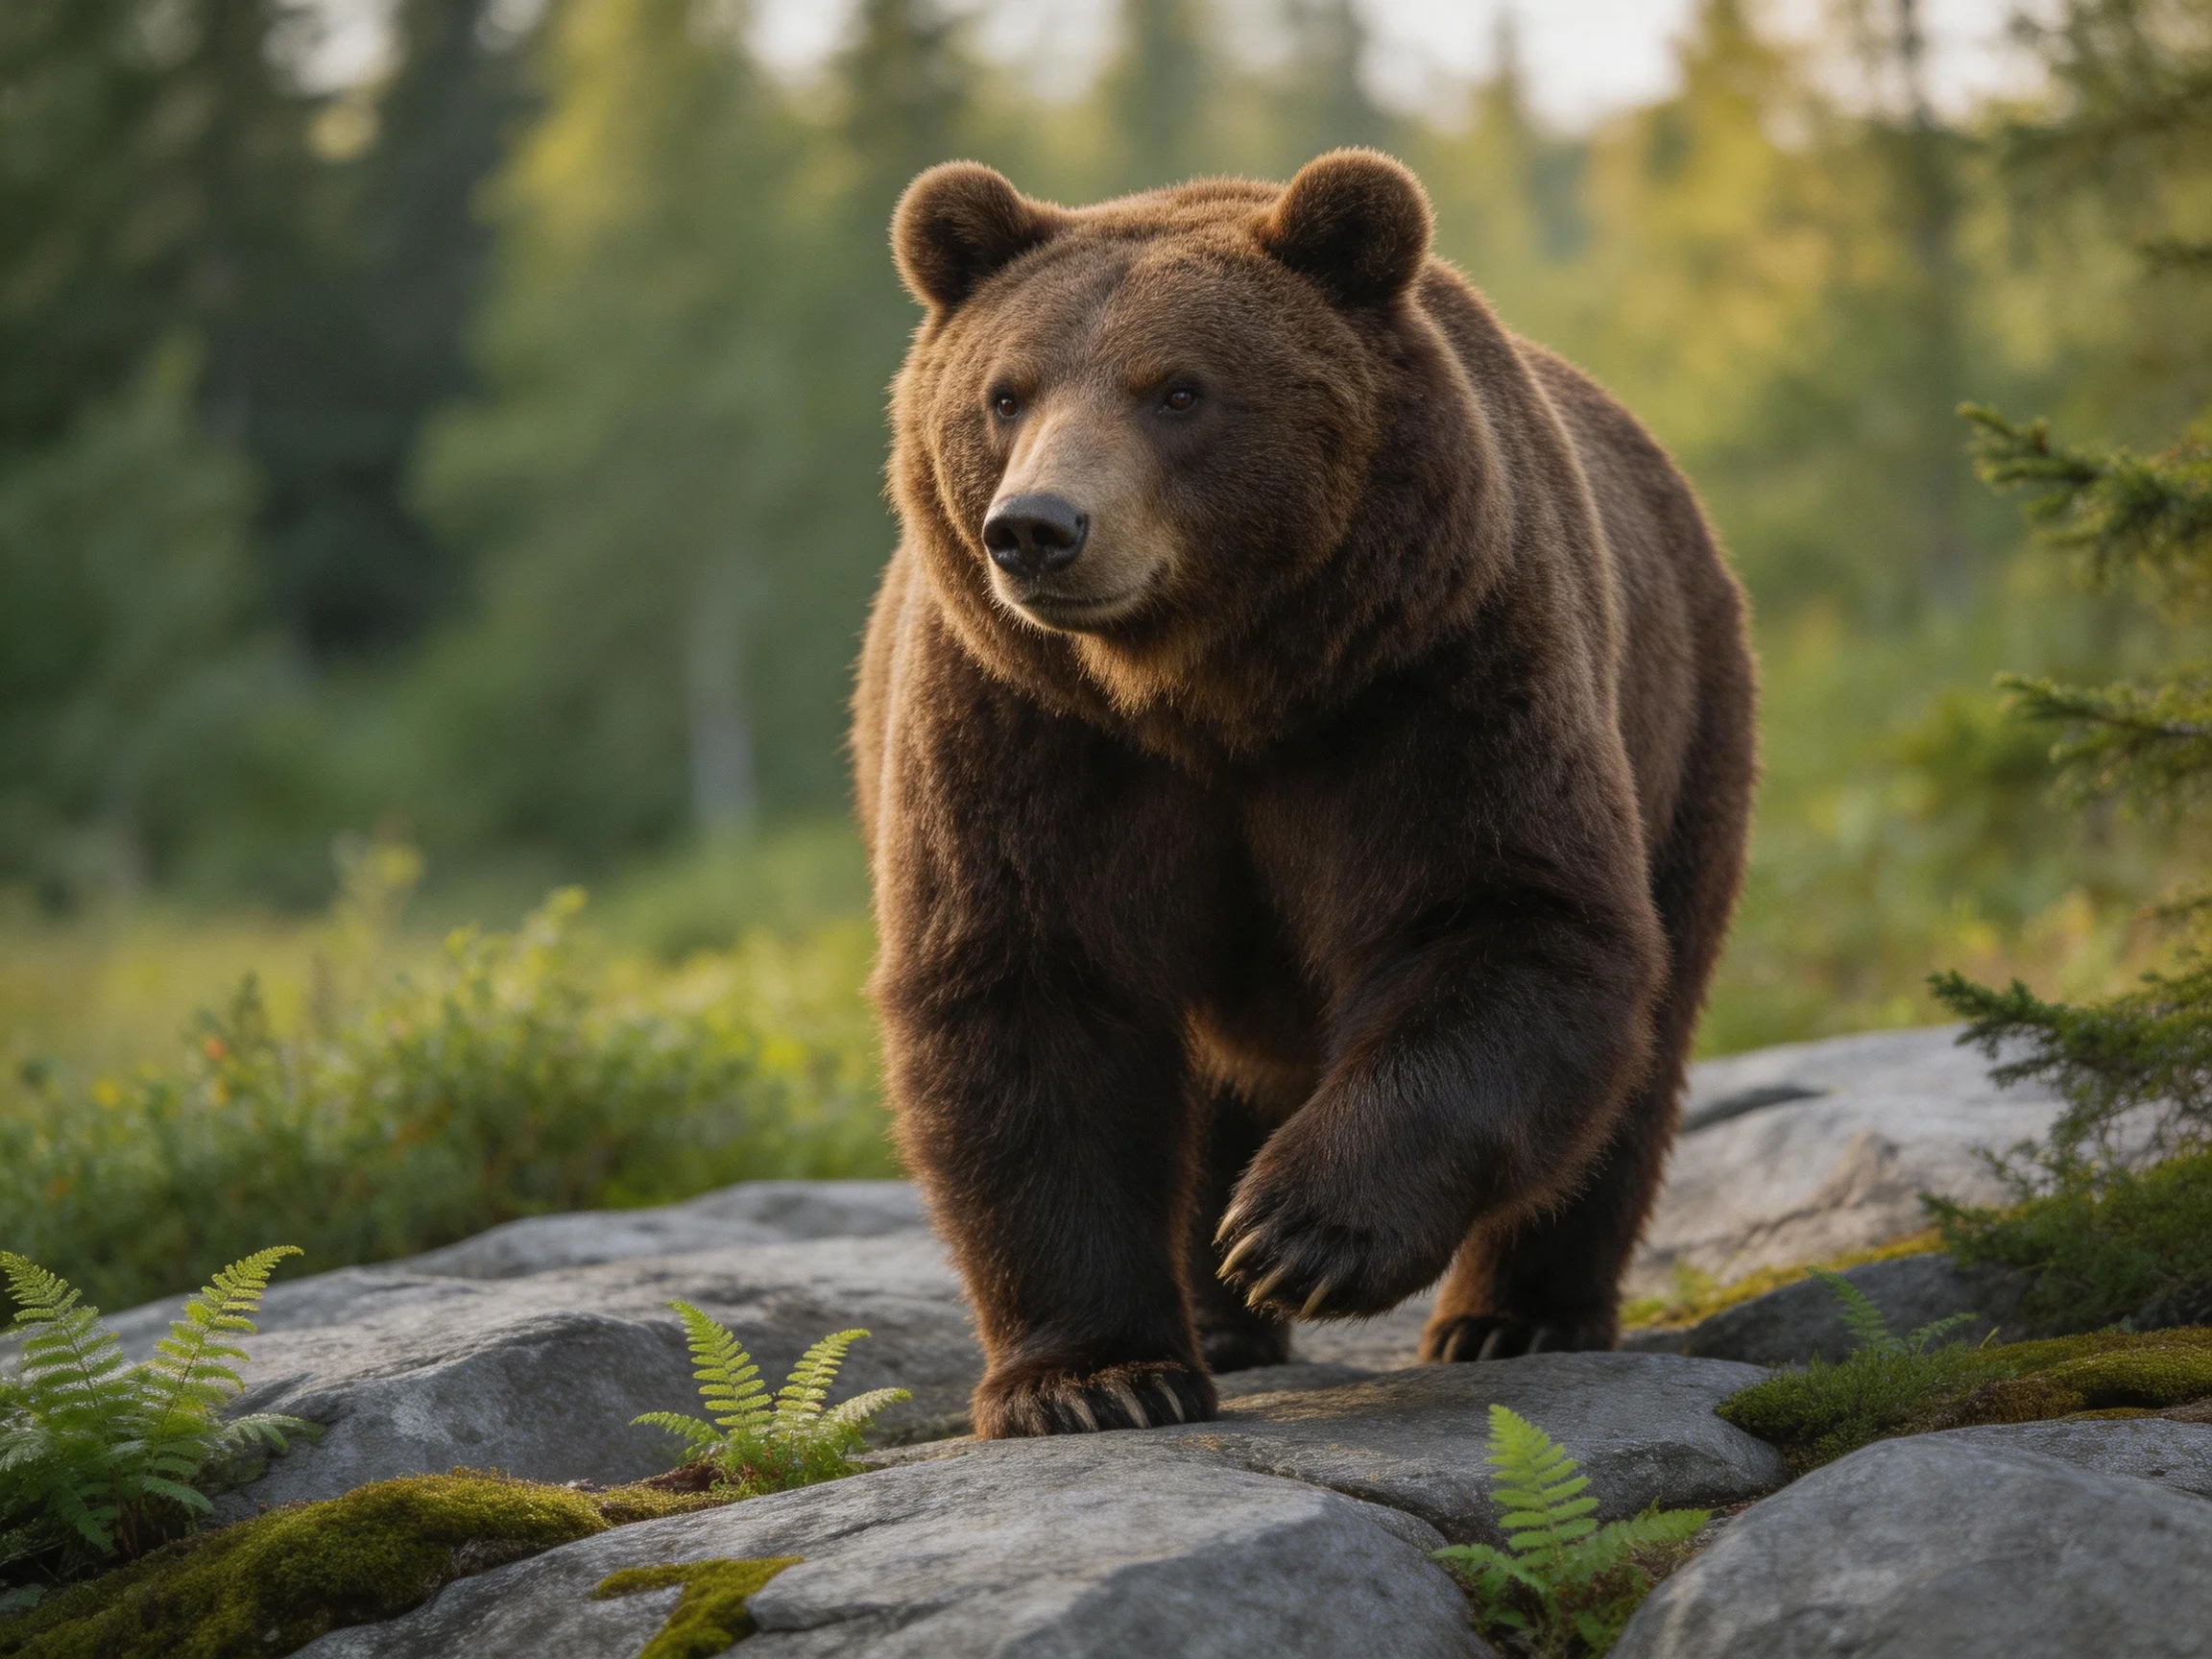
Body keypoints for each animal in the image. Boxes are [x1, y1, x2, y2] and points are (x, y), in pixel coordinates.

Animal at [853, 149, 1757, 1439]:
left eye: (1178, 391)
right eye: (1006, 394)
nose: (1036, 529)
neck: (1205, 688)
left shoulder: (1434, 670)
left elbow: (1503, 915)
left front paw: (1298, 1232)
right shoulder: (1025, 725)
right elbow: (1030, 989)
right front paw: (1095, 1381)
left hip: (1683, 719)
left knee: (1646, 1030)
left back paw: (1512, 1315)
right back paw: (1224, 1324)